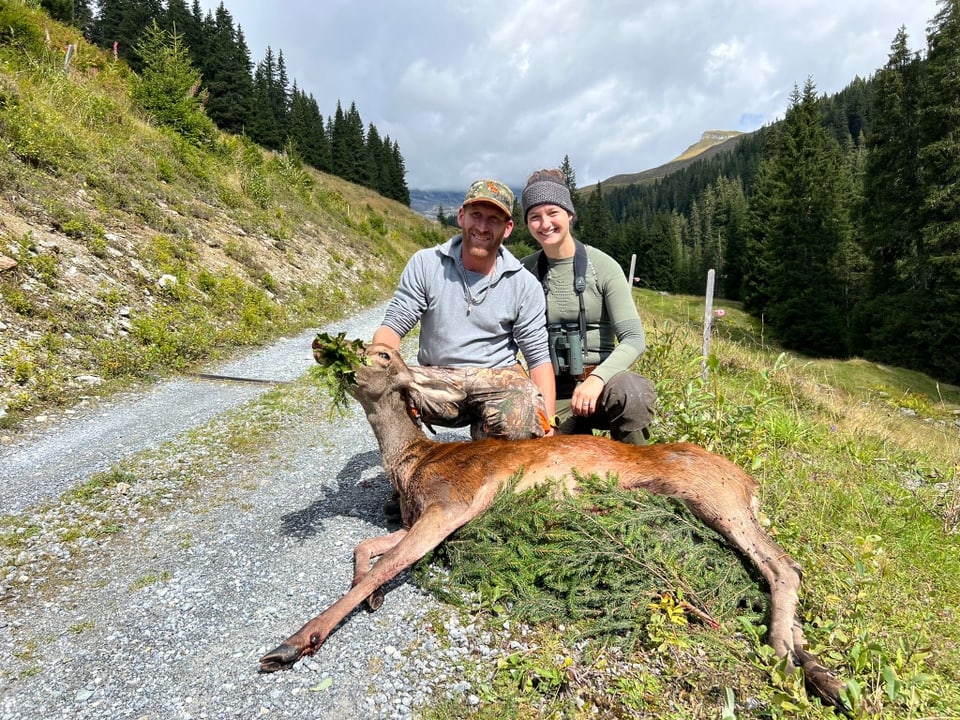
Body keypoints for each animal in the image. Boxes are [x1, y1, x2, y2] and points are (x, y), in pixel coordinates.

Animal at [258, 344, 844, 708]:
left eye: (381, 354)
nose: (324, 347)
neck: (411, 465)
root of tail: (751, 481)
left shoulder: (453, 504)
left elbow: (385, 565)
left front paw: (291, 644)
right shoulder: (425, 513)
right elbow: (366, 547)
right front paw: (370, 597)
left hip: (712, 496)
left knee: (784, 566)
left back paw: (783, 655)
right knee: (776, 573)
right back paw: (820, 675)